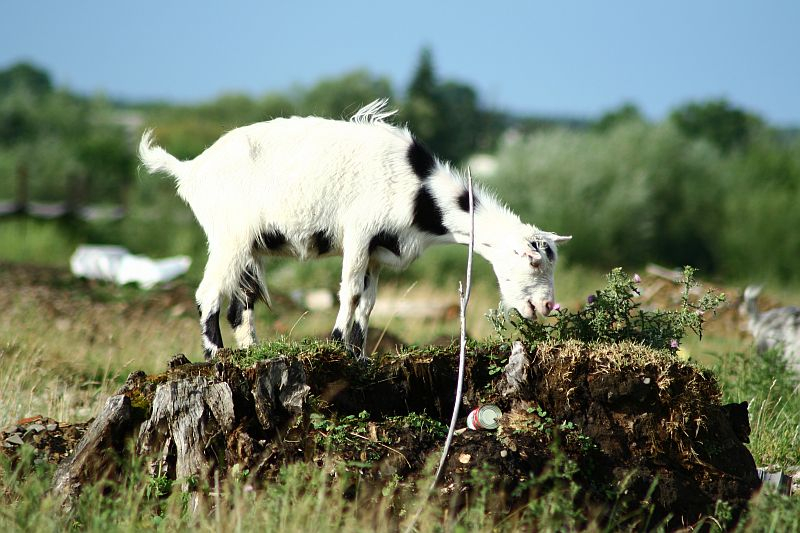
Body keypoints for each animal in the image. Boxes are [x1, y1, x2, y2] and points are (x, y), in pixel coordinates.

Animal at [139, 100, 571, 360]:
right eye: (533, 260)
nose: (545, 307)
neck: (420, 189)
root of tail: (189, 169)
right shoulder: (360, 234)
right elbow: (348, 292)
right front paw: (335, 344)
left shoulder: (379, 251)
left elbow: (368, 301)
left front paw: (359, 353)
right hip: (228, 235)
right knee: (208, 293)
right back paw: (215, 356)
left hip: (247, 247)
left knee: (241, 303)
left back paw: (250, 353)